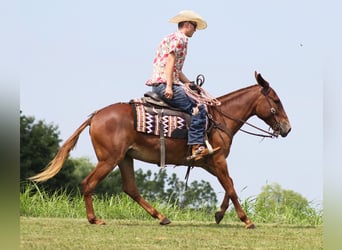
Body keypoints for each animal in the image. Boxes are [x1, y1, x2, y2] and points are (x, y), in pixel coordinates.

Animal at [29, 71, 292, 229]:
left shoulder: (209, 161)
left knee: (131, 189)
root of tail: (95, 116)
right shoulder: (217, 160)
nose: (287, 128)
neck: (219, 119)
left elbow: (230, 185)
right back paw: (95, 219)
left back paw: (161, 216)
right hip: (109, 159)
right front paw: (246, 220)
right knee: (89, 183)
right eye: (276, 101)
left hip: (125, 158)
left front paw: (219, 214)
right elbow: (232, 188)